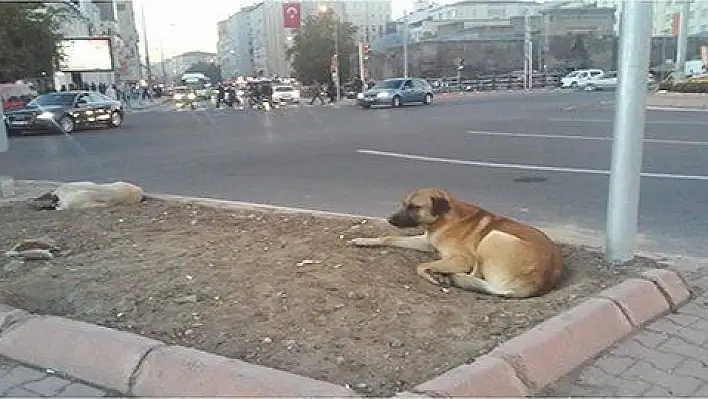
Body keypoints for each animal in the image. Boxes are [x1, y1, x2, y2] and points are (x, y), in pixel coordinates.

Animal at [350, 189, 564, 298]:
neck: (445, 219)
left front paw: (432, 276)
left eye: (414, 207)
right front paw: (363, 240)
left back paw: (447, 277)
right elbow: (388, 238)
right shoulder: (426, 241)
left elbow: (420, 266)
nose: (389, 219)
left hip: (493, 237)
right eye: (404, 204)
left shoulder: (462, 259)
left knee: (475, 275)